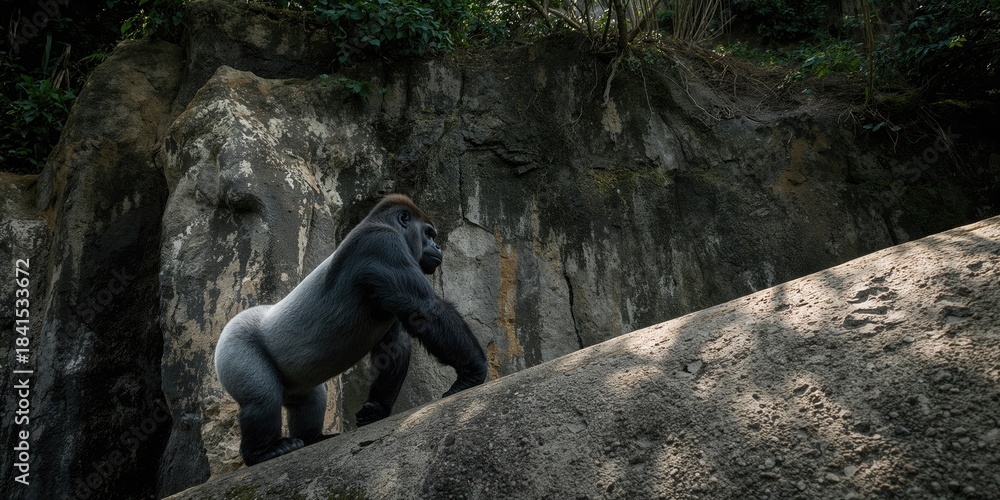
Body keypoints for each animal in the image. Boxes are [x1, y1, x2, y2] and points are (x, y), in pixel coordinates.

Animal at [214, 194, 488, 466]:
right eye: (429, 234)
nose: (438, 247)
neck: (382, 223)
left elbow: (395, 344)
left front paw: (376, 407)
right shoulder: (381, 244)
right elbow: (426, 311)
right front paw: (473, 370)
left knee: (309, 399)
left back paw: (312, 438)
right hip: (234, 343)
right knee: (262, 400)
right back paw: (263, 452)